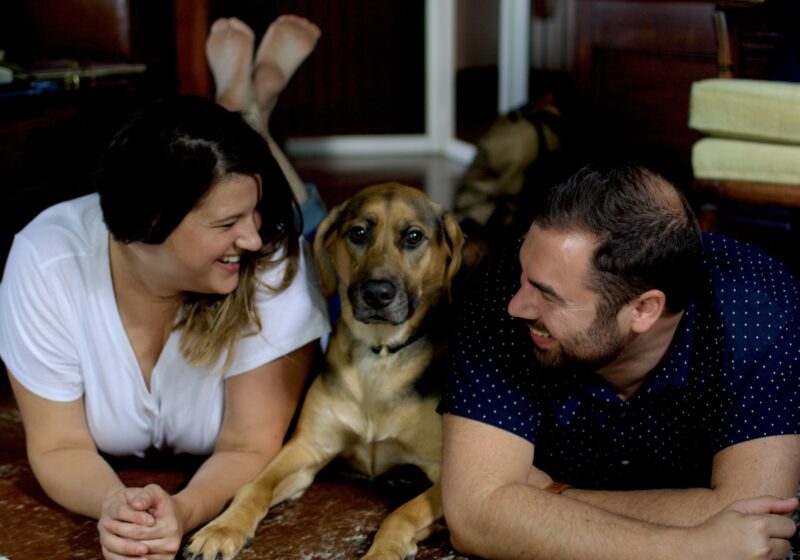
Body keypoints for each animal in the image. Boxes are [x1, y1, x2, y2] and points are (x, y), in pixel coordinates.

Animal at [185, 183, 466, 560]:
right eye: (358, 233)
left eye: (413, 237)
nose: (377, 293)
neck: (379, 354)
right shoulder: (307, 447)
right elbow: (254, 486)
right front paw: (222, 528)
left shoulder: (446, 475)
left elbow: (402, 512)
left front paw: (384, 550)